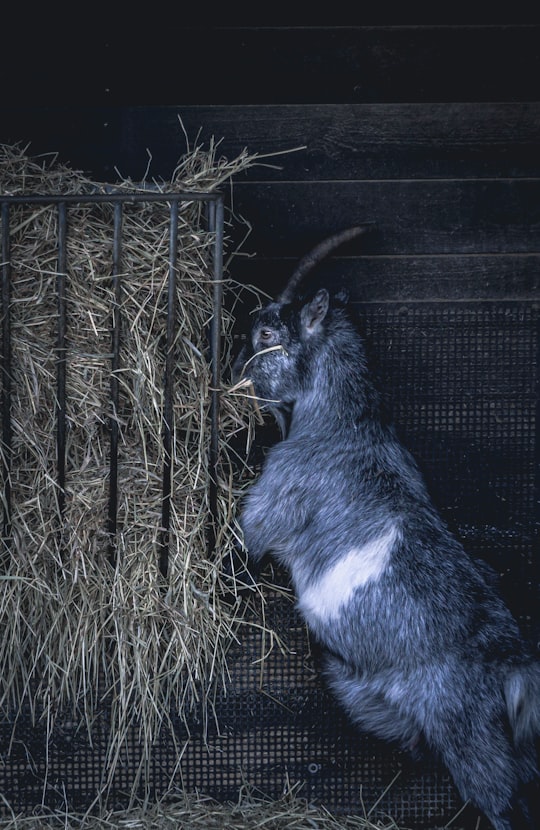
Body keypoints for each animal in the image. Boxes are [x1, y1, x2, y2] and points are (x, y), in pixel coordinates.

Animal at [232, 228, 540, 830]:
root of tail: (512, 670)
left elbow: (245, 538)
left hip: (472, 742)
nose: (234, 376)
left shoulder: (269, 504)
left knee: (502, 803)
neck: (346, 424)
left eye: (267, 332)